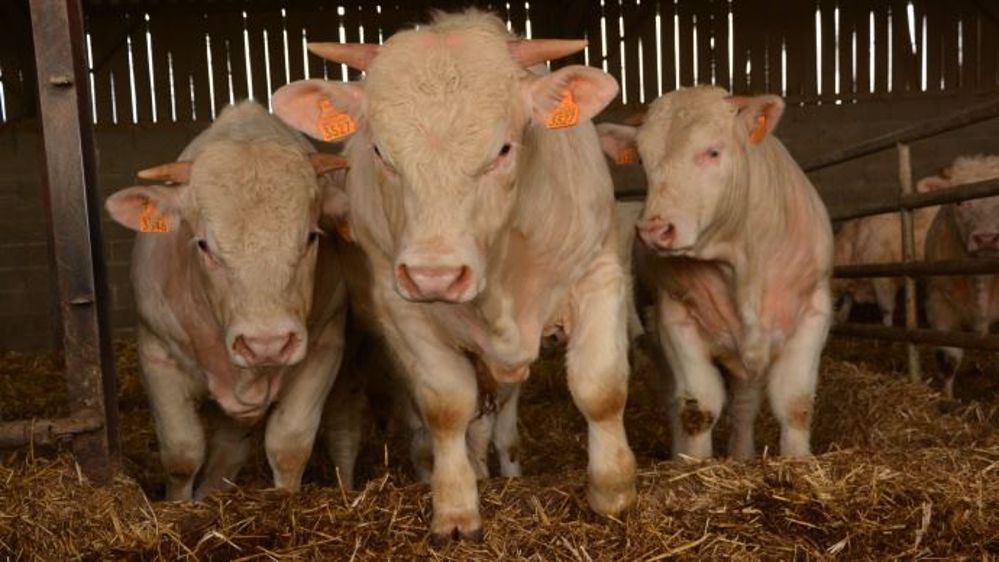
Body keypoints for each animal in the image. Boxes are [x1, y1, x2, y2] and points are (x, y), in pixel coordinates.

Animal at [104, 101, 355, 500]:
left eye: (312, 238)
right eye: (204, 245)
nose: (267, 343)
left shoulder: (324, 349)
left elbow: (289, 446)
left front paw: (285, 500)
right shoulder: (157, 354)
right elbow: (182, 453)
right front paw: (179, 506)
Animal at [272, 10, 636, 540]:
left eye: (504, 149)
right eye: (381, 153)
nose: (436, 276)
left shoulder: (598, 273)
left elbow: (600, 388)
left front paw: (613, 494)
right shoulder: (400, 306)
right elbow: (446, 407)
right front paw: (456, 508)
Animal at [597, 86, 833, 461]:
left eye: (712, 151)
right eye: (643, 161)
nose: (654, 230)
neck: (740, 261)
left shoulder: (813, 312)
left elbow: (795, 404)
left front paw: (797, 460)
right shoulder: (676, 321)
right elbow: (698, 408)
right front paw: (695, 462)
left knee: (745, 403)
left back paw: (742, 455)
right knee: (674, 401)